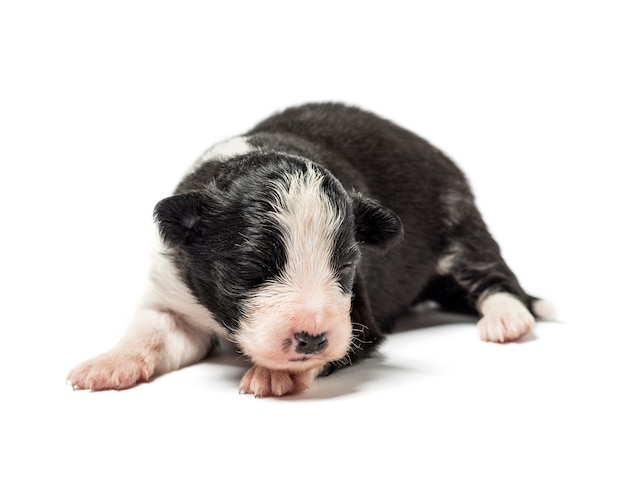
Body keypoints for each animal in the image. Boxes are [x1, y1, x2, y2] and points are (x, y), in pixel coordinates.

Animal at [66, 102, 548, 398]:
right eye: (249, 268)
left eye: (346, 266)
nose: (313, 338)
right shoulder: (172, 292)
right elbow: (150, 332)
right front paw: (108, 364)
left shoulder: (359, 319)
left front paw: (274, 373)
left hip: (459, 220)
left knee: (496, 278)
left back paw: (507, 319)